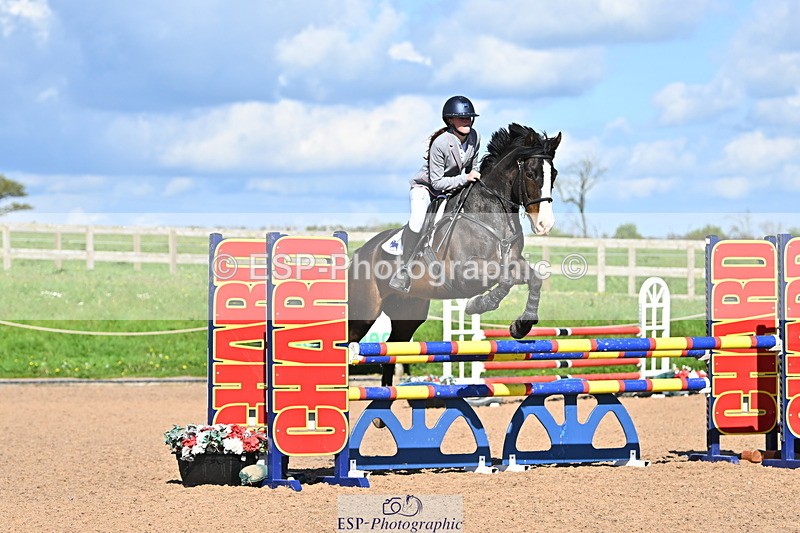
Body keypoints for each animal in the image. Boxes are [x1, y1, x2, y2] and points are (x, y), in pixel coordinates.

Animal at [348, 123, 561, 386]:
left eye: (554, 174)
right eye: (531, 174)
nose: (545, 225)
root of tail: (359, 253)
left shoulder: (515, 263)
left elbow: (533, 279)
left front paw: (521, 325)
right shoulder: (466, 273)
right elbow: (505, 278)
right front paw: (480, 304)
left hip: (408, 313)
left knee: (391, 351)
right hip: (364, 312)